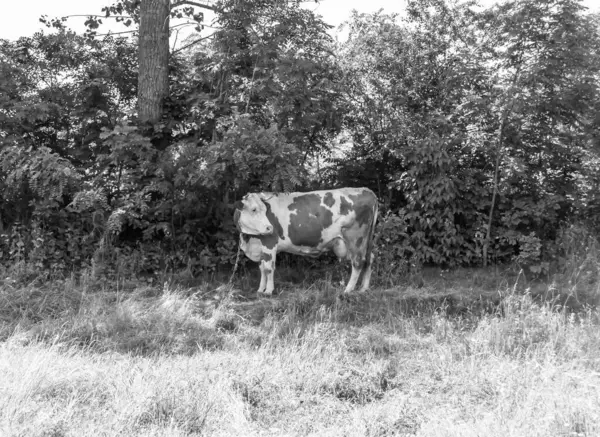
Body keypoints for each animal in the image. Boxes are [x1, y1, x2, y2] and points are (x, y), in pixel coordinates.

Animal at [233, 186, 378, 294]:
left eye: (264, 210)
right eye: (253, 209)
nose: (269, 228)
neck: (249, 239)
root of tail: (367, 190)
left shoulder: (269, 244)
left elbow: (268, 268)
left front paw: (268, 291)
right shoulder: (260, 248)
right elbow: (262, 269)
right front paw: (260, 289)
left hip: (355, 238)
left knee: (358, 262)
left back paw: (348, 290)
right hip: (366, 240)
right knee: (369, 258)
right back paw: (363, 288)